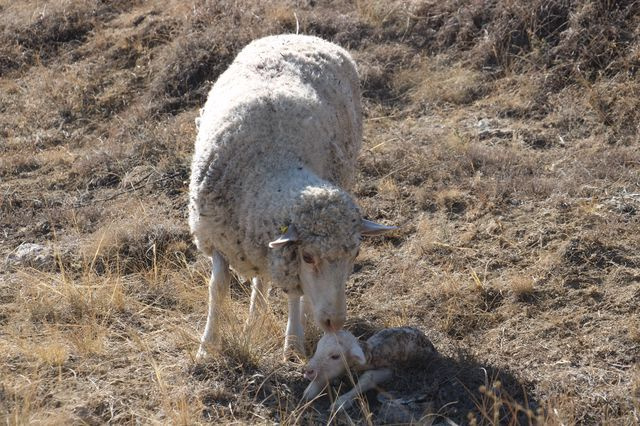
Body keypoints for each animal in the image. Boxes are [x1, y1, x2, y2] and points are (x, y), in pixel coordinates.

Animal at [186, 34, 396, 360]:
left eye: (356, 254)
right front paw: (207, 347)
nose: (335, 322)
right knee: (260, 278)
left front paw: (293, 342)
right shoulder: (215, 235)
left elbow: (295, 294)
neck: (272, 165)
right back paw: (255, 319)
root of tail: (301, 35)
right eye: (308, 256)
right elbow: (217, 289)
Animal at [304, 326, 436, 410]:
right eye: (318, 347)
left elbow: (367, 378)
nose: (308, 370)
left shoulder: (389, 371)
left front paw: (341, 402)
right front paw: (310, 390)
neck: (369, 352)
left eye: (335, 356)